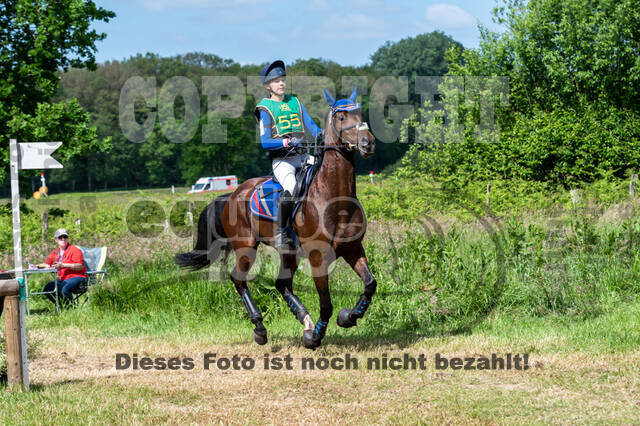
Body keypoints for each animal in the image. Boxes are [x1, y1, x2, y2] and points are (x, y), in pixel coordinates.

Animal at [175, 87, 377, 349]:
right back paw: (260, 328)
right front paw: (315, 338)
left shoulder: (352, 248)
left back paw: (304, 319)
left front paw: (348, 317)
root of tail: (233, 194)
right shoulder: (318, 257)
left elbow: (369, 284)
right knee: (239, 279)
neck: (334, 198)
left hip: (288, 252)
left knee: (281, 284)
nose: (368, 143)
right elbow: (326, 303)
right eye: (341, 117)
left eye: (360, 114)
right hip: (246, 247)